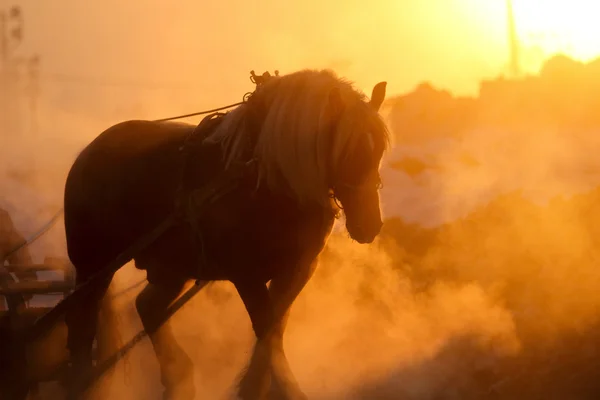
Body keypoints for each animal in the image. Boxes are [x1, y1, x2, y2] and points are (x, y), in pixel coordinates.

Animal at [63, 69, 386, 400]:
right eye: (348, 151)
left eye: (378, 151)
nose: (370, 225)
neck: (266, 180)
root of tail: (87, 154)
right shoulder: (247, 274)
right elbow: (267, 331)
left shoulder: (296, 271)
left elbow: (275, 329)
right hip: (94, 266)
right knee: (83, 325)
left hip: (172, 268)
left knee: (147, 307)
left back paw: (178, 377)